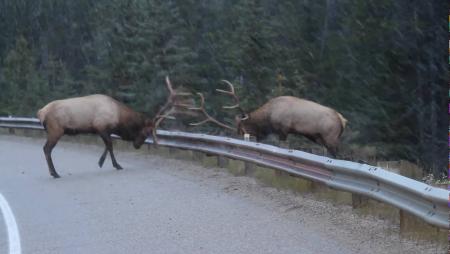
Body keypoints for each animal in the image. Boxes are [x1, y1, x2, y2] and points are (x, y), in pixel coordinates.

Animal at [36, 76, 188, 178]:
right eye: (146, 133)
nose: (137, 145)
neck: (119, 118)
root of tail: (41, 112)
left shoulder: (104, 130)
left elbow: (108, 145)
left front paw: (101, 162)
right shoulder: (101, 126)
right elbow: (110, 145)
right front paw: (115, 165)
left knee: (46, 148)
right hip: (56, 130)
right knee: (46, 149)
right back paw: (55, 173)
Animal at [190, 81, 348, 157]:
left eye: (242, 131)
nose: (240, 141)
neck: (268, 116)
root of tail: (342, 120)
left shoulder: (283, 129)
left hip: (330, 137)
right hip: (322, 139)